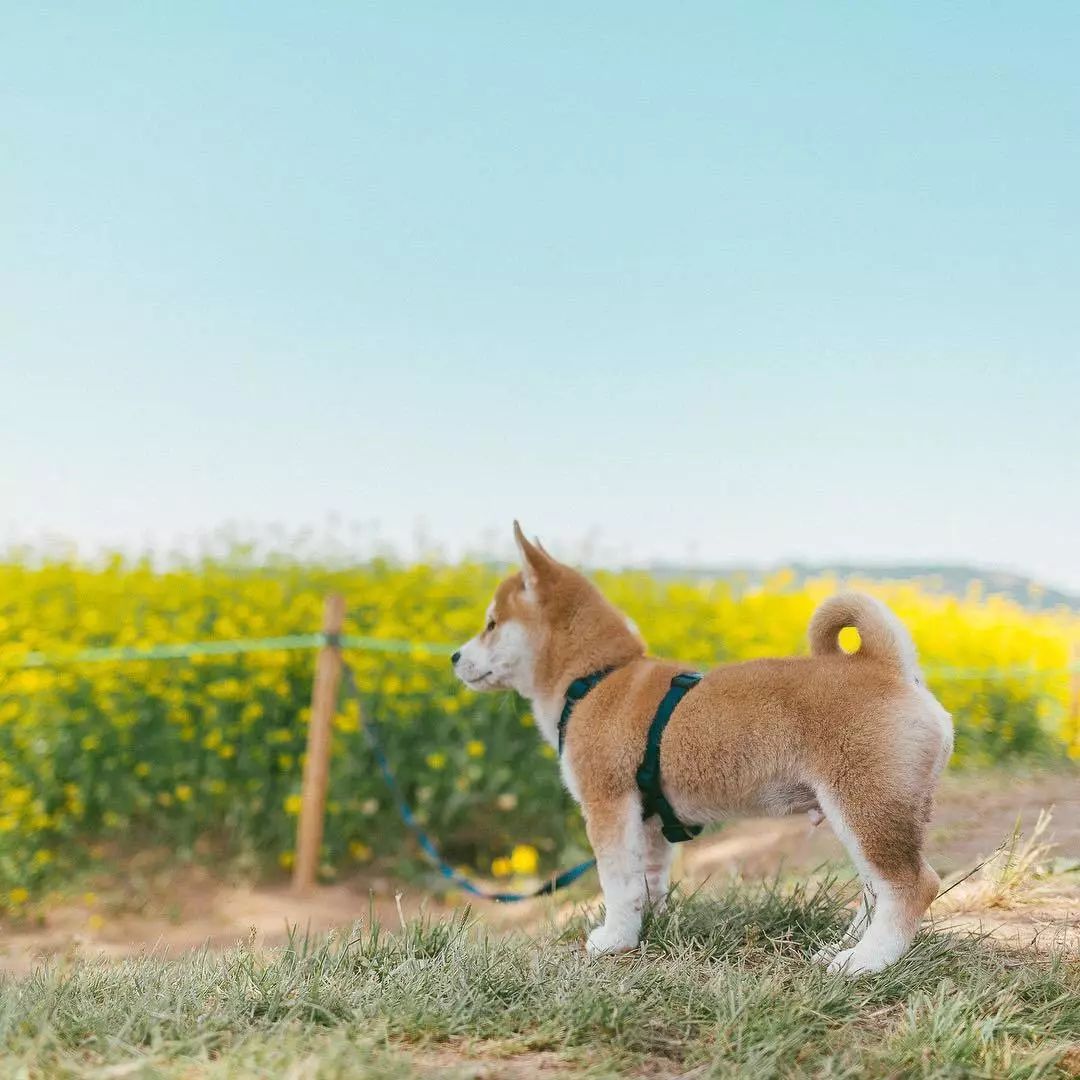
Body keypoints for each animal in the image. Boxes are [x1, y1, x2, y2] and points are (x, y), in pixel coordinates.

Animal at [451, 524, 950, 980]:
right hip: (867, 813)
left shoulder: (607, 806)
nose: (454, 656)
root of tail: (886, 666)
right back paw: (844, 948)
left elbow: (617, 882)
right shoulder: (648, 820)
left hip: (865, 806)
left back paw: (868, 961)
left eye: (491, 624)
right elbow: (647, 882)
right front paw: (645, 928)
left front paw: (613, 940)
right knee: (876, 889)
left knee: (912, 885)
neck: (597, 677)